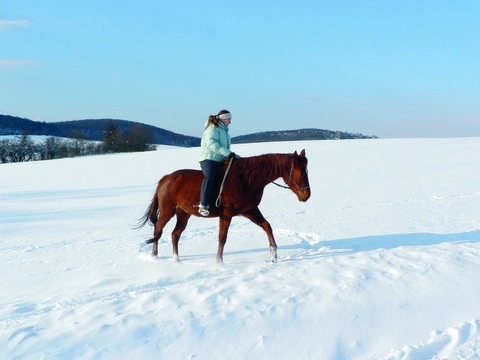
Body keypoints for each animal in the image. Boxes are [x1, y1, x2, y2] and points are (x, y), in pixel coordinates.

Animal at [135, 149, 312, 264]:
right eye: (302, 173)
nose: (307, 195)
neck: (246, 179)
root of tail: (165, 179)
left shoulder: (249, 210)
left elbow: (267, 226)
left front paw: (273, 254)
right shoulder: (227, 214)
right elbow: (222, 237)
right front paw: (219, 261)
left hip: (183, 214)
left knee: (175, 234)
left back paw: (176, 258)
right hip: (167, 211)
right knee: (158, 230)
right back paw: (154, 255)